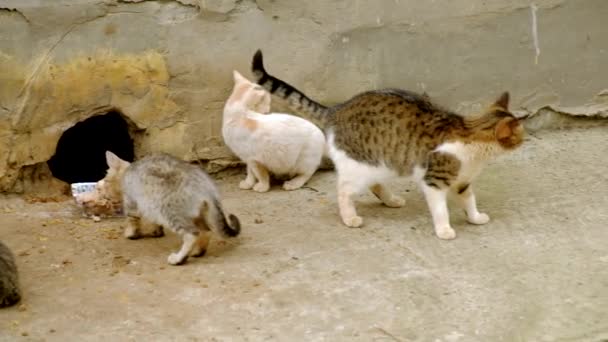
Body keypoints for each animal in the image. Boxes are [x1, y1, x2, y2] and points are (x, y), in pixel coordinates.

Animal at [101, 151, 240, 266]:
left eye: (106, 181)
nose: (104, 194)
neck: (128, 171)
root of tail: (207, 186)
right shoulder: (150, 206)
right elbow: (154, 223)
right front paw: (156, 231)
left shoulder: (132, 203)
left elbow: (132, 220)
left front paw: (131, 233)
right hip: (197, 214)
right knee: (206, 231)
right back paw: (197, 251)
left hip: (170, 212)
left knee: (192, 234)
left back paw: (179, 258)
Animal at [249, 50, 524, 240]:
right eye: (520, 135)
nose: (523, 141)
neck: (473, 143)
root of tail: (337, 109)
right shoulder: (434, 181)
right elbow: (440, 209)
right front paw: (444, 229)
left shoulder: (462, 182)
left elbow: (469, 200)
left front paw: (475, 217)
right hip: (359, 167)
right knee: (344, 191)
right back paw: (350, 217)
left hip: (382, 163)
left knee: (375, 184)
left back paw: (391, 200)